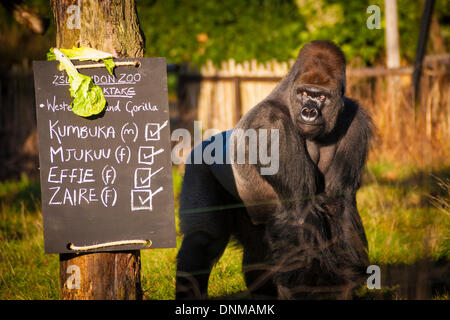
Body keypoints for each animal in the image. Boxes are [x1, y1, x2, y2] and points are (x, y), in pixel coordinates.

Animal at [176, 40, 372, 300]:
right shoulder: (270, 125)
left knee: (257, 247)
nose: (309, 112)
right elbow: (300, 208)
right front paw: (317, 289)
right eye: (304, 93)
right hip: (198, 166)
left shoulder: (356, 120)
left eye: (321, 96)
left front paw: (343, 284)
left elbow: (338, 202)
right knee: (203, 241)